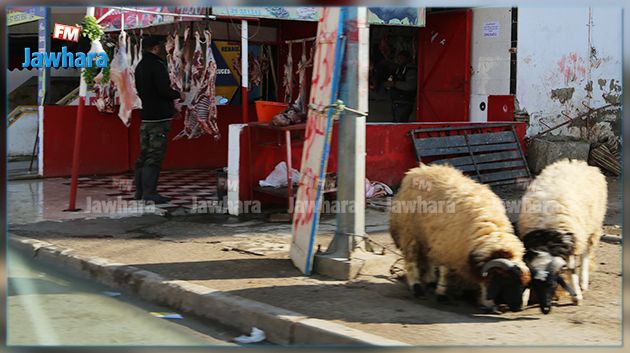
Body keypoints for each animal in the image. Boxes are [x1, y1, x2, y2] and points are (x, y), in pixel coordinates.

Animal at [390, 163, 532, 310]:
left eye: (524, 285)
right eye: (507, 281)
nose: (518, 307)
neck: (487, 231)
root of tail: (418, 170)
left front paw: (486, 302)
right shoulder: (447, 246)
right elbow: (446, 273)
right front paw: (442, 295)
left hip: (427, 235)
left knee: (427, 258)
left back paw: (430, 282)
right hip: (409, 232)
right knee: (411, 259)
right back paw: (417, 288)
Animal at [520, 158, 608, 312]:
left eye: (553, 283)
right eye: (535, 283)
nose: (545, 309)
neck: (547, 240)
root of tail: (576, 162)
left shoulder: (571, 242)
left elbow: (572, 270)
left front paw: (576, 297)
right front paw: (524, 298)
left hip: (592, 227)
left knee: (586, 254)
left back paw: (583, 282)